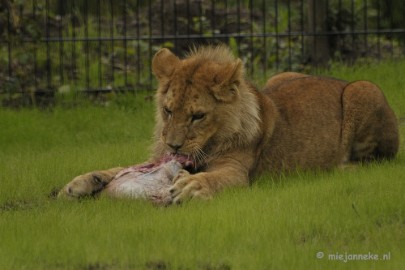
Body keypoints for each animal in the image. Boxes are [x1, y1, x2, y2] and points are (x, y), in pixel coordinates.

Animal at [56, 45, 398, 204]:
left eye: (197, 116)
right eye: (167, 110)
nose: (174, 146)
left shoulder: (236, 171)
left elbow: (216, 178)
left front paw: (193, 186)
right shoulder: (157, 157)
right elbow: (120, 168)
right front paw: (81, 182)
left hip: (364, 89)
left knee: (379, 159)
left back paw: (340, 169)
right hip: (283, 75)